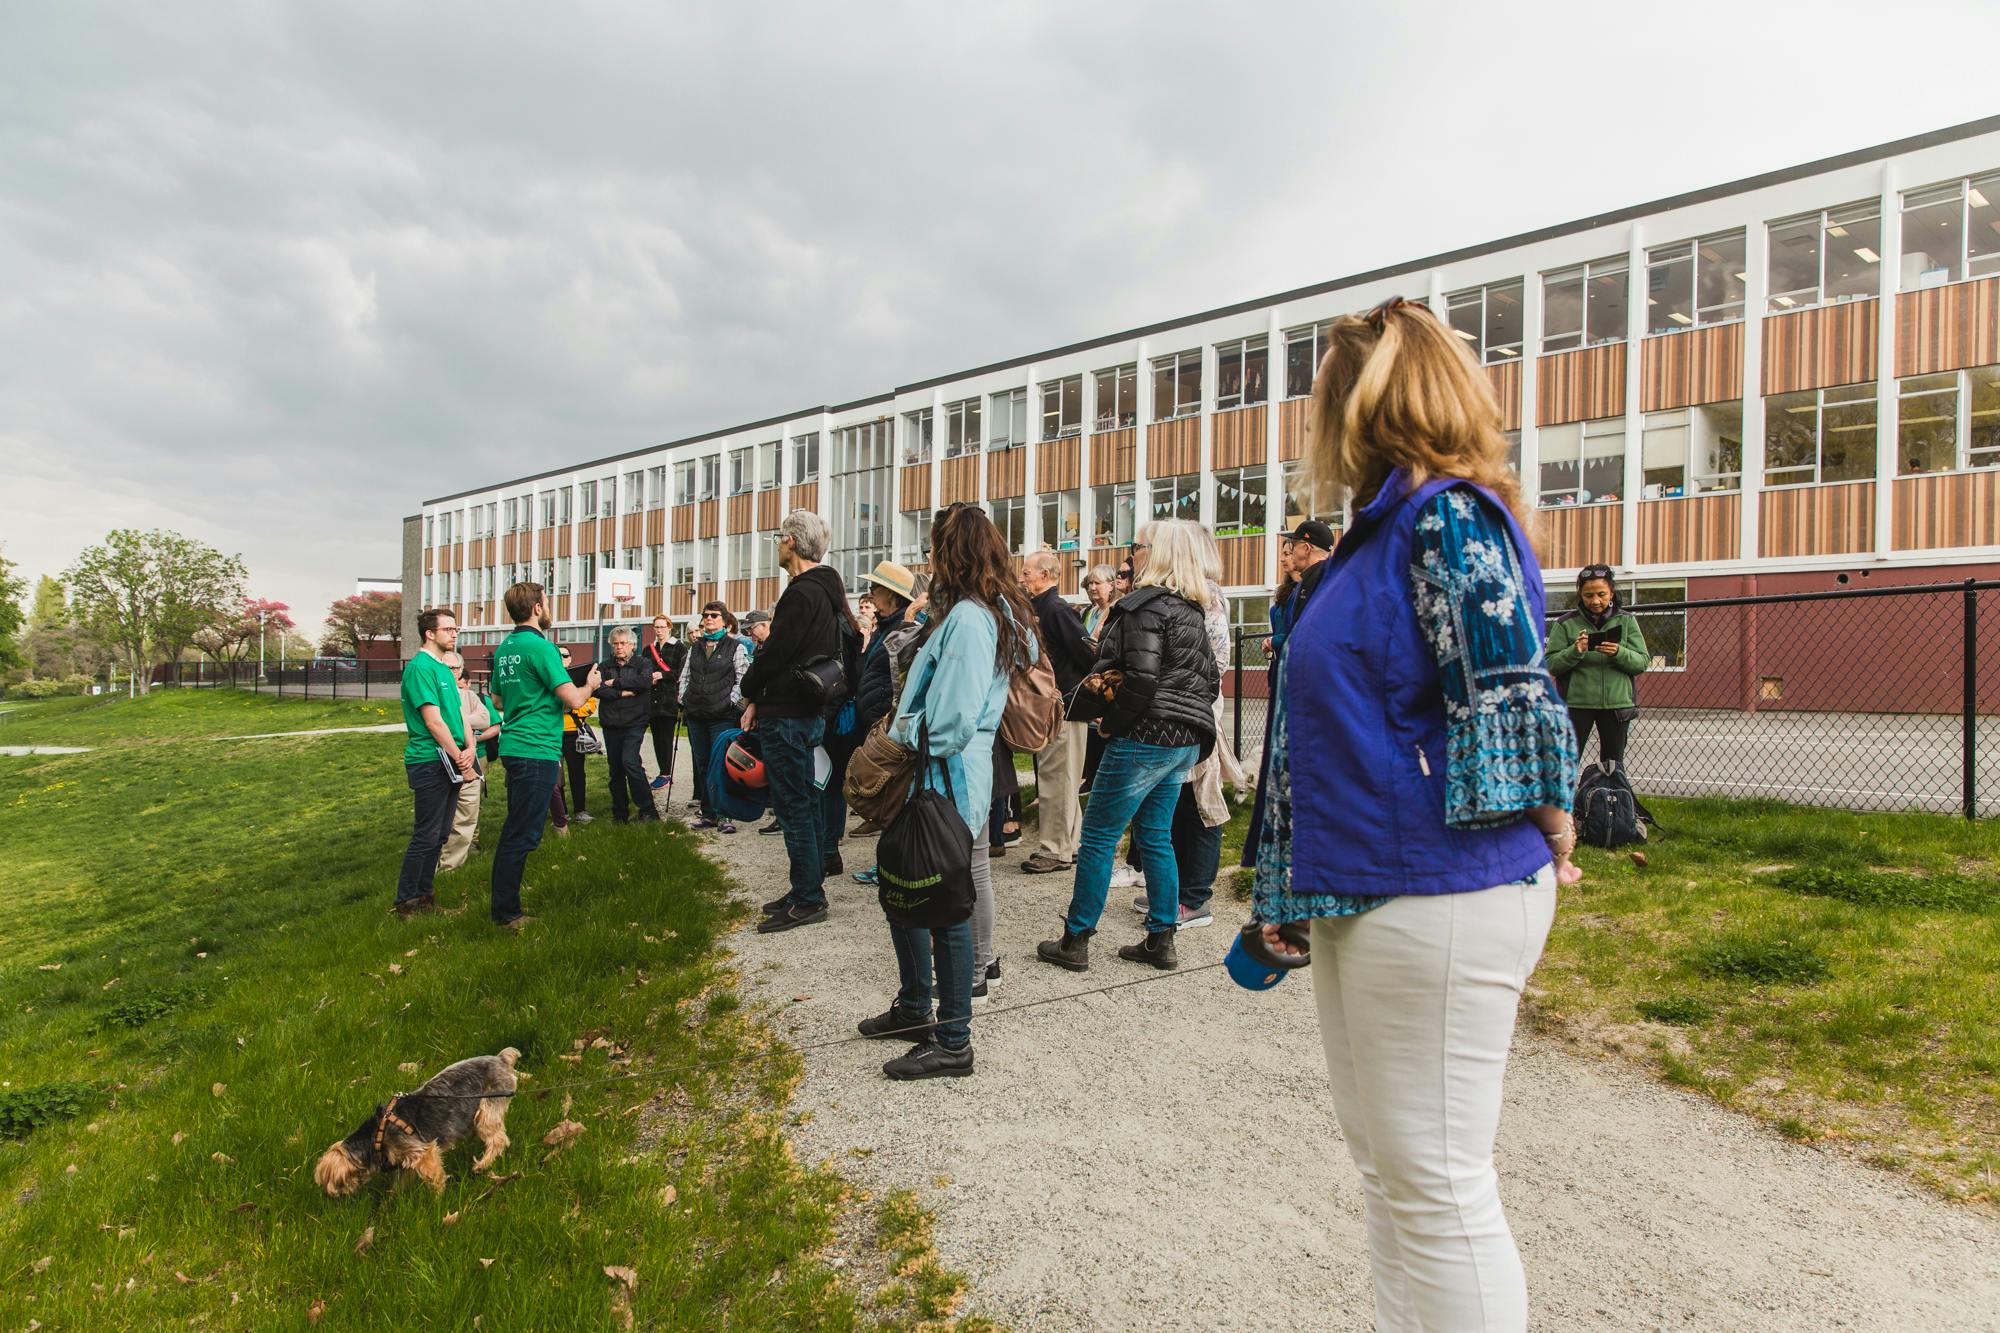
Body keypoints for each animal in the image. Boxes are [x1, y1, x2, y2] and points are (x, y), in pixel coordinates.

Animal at [314, 1048, 524, 1192]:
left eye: (335, 1185)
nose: (330, 1196)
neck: (375, 1136)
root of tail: (501, 1058)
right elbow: (402, 1181)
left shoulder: (421, 1151)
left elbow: (434, 1174)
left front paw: (437, 1198)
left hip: (489, 1104)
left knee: (498, 1138)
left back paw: (481, 1165)